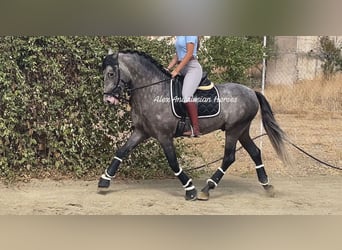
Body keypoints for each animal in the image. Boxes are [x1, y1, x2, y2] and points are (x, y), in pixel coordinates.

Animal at [97, 49, 288, 200]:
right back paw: (267, 186)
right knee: (255, 152)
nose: (108, 99)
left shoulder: (164, 136)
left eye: (111, 74)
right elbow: (121, 151)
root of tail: (251, 92)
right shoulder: (141, 132)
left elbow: (173, 163)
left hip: (234, 130)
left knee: (229, 158)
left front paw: (190, 190)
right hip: (242, 130)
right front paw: (104, 181)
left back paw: (206, 189)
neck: (152, 89)